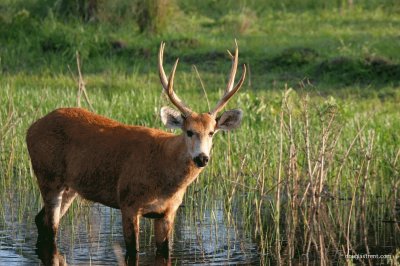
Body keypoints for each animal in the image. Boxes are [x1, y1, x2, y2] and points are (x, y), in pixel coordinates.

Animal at [25, 41, 247, 260]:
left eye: (211, 132)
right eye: (189, 131)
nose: (202, 158)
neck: (163, 170)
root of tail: (31, 129)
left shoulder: (168, 212)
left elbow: (164, 251)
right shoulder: (128, 202)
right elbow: (133, 252)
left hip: (69, 187)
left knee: (40, 219)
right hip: (47, 176)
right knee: (50, 227)